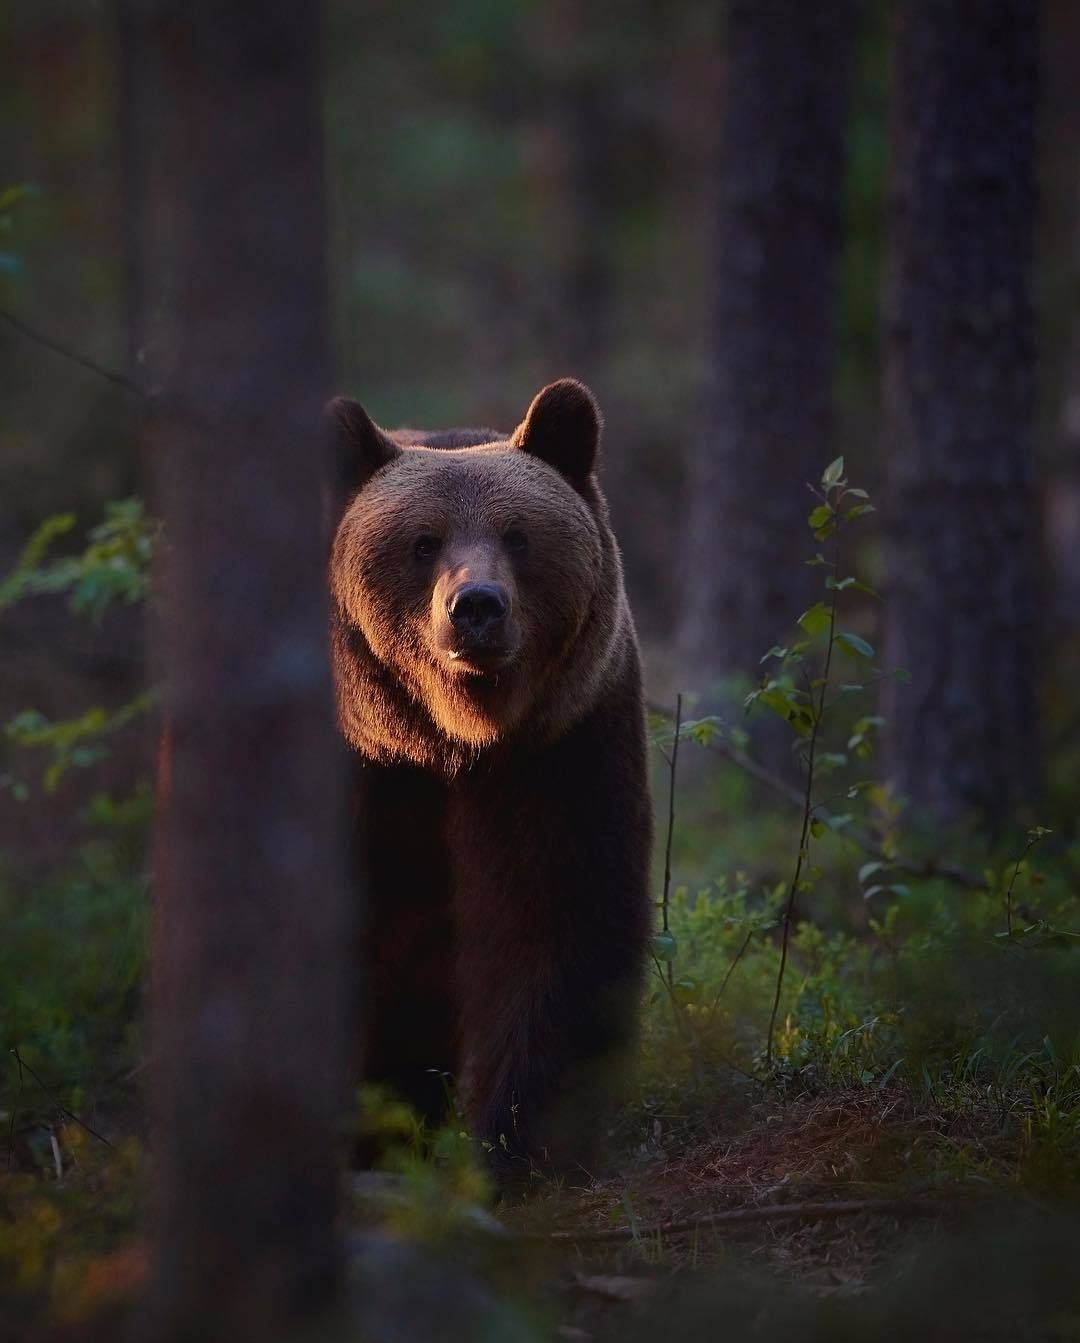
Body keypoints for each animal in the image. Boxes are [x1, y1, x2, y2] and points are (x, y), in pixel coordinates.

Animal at [325, 378, 653, 1186]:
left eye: (519, 536)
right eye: (421, 542)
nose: (475, 606)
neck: (450, 742)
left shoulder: (559, 749)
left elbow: (557, 929)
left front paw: (521, 1145)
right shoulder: (364, 769)